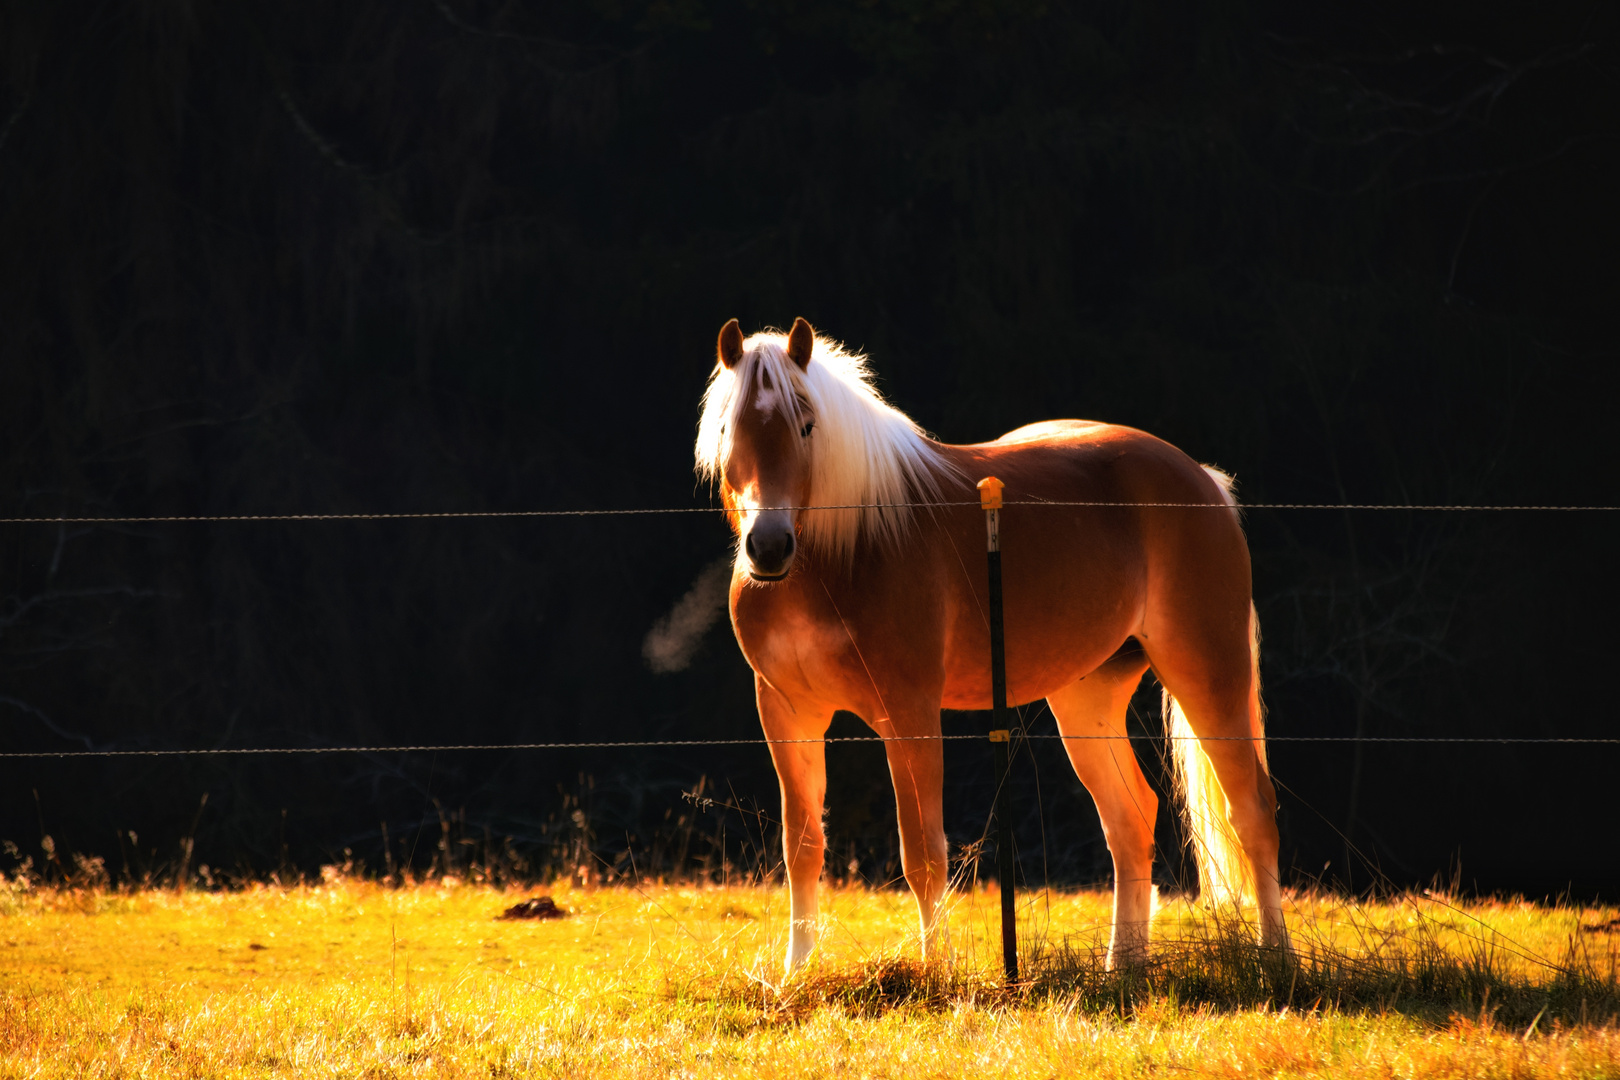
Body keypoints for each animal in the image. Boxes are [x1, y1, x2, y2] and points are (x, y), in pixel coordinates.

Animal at [696, 317, 1289, 977]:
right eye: (727, 427)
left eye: (806, 424)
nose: (768, 546)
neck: (846, 545)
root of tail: (1203, 480)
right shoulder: (787, 712)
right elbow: (801, 846)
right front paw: (795, 977)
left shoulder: (909, 713)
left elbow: (922, 853)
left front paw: (932, 972)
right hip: (1087, 698)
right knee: (1131, 819)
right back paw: (1121, 969)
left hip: (1207, 670)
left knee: (1252, 810)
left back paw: (1276, 959)